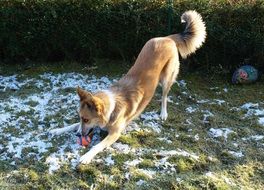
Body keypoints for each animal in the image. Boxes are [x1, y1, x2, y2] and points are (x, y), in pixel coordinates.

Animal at [49, 10, 206, 165]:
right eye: (80, 117)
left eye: (86, 119)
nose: (77, 135)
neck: (112, 108)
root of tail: (167, 38)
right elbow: (73, 124)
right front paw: (58, 130)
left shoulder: (115, 133)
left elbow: (98, 146)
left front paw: (86, 156)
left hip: (167, 78)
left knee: (164, 96)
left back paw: (163, 113)